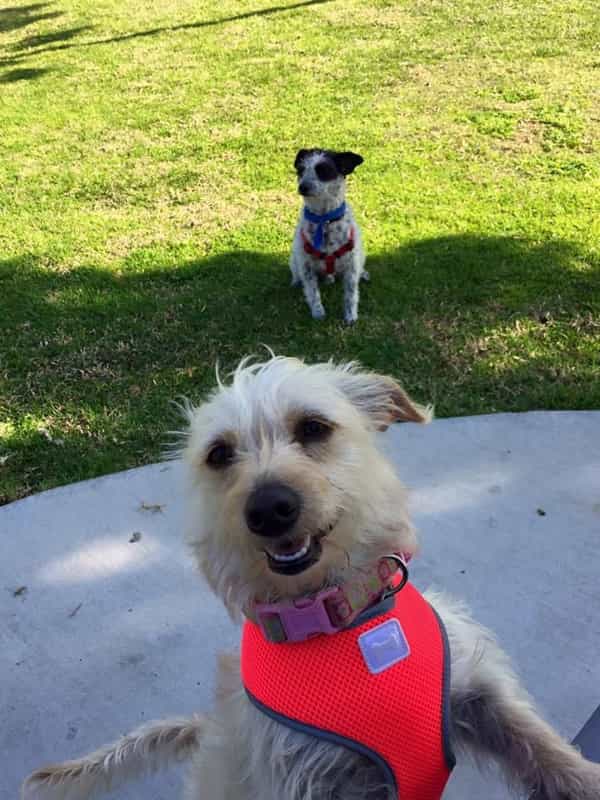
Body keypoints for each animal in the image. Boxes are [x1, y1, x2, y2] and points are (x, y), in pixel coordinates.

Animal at [21, 358, 600, 800]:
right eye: (219, 454)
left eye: (314, 427)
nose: (268, 508)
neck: (338, 621)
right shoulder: (311, 779)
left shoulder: (476, 691)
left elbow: (539, 743)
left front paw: (585, 776)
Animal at [290, 148, 368, 324]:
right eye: (301, 170)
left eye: (323, 170)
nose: (302, 187)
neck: (324, 220)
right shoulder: (306, 267)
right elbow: (312, 293)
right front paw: (318, 312)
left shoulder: (351, 266)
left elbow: (351, 295)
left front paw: (350, 316)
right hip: (294, 260)